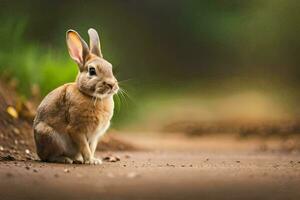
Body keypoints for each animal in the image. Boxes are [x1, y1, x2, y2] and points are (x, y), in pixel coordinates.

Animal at [32, 28, 118, 164]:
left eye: (110, 67)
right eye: (92, 71)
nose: (112, 85)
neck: (90, 96)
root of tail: (38, 151)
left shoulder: (94, 137)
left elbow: (91, 148)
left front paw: (94, 160)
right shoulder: (76, 130)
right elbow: (85, 147)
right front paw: (91, 161)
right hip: (51, 137)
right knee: (49, 157)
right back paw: (65, 159)